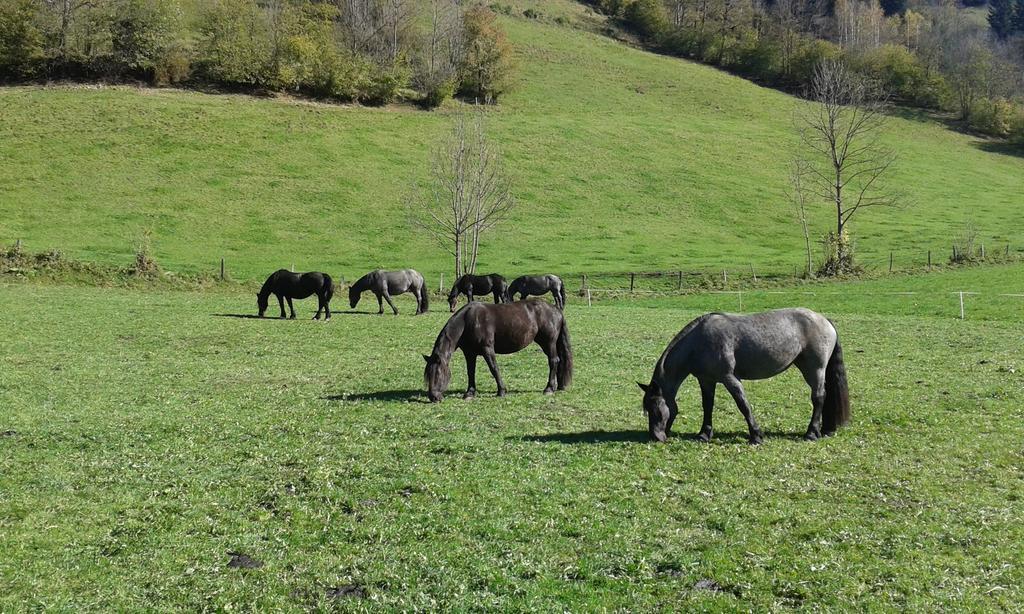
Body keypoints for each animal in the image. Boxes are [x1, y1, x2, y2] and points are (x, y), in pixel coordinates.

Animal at [419, 298, 573, 403]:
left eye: (438, 373)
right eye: (428, 375)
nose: (433, 397)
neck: (468, 321)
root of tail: (556, 309)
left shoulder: (487, 350)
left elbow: (494, 369)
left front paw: (501, 391)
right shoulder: (469, 353)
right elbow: (470, 372)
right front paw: (470, 393)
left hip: (548, 343)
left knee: (554, 361)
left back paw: (549, 389)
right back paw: (557, 386)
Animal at [638, 309, 847, 444]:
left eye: (656, 409)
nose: (655, 437)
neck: (698, 342)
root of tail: (824, 319)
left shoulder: (730, 378)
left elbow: (743, 405)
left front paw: (756, 436)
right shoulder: (706, 380)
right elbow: (708, 406)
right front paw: (704, 434)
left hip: (815, 369)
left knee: (818, 397)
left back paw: (811, 433)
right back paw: (823, 430)